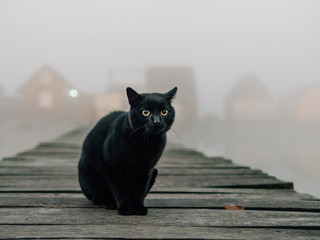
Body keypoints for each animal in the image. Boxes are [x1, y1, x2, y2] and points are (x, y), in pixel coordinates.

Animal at [78, 86, 178, 216]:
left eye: (164, 112)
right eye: (145, 112)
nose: (157, 121)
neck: (145, 144)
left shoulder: (146, 170)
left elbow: (140, 192)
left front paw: (139, 208)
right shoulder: (113, 168)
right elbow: (120, 191)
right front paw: (125, 208)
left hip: (154, 171)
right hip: (88, 176)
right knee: (97, 195)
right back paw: (109, 203)